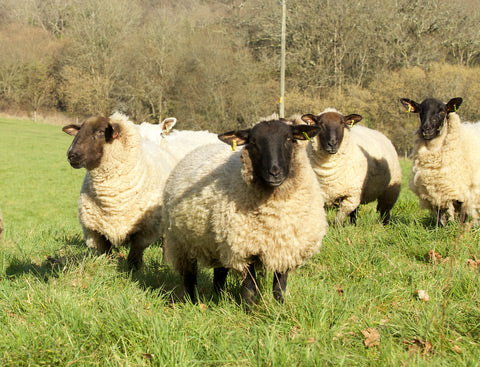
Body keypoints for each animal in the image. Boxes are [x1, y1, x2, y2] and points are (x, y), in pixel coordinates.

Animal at [62, 110, 220, 268]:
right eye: (79, 130)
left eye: (101, 131)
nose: (71, 154)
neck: (112, 199)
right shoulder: (94, 231)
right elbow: (106, 253)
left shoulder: (145, 229)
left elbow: (135, 254)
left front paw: (133, 269)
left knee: (166, 241)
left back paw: (166, 263)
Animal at [163, 115, 328, 308]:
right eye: (254, 142)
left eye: (289, 139)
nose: (274, 172)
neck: (274, 212)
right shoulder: (244, 249)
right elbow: (250, 288)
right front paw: (249, 310)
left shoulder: (286, 247)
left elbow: (279, 287)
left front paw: (280, 308)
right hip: (182, 243)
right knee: (189, 276)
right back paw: (192, 301)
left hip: (219, 241)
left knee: (220, 273)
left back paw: (219, 297)